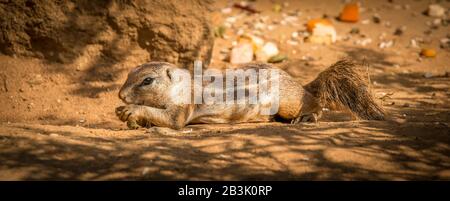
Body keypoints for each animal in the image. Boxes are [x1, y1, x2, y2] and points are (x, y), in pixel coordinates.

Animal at [116, 59, 384, 130]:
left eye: (147, 81)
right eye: (129, 72)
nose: (120, 96)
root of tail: (302, 86)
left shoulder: (182, 108)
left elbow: (172, 121)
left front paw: (131, 110)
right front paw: (126, 116)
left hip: (290, 103)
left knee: (317, 106)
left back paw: (307, 118)